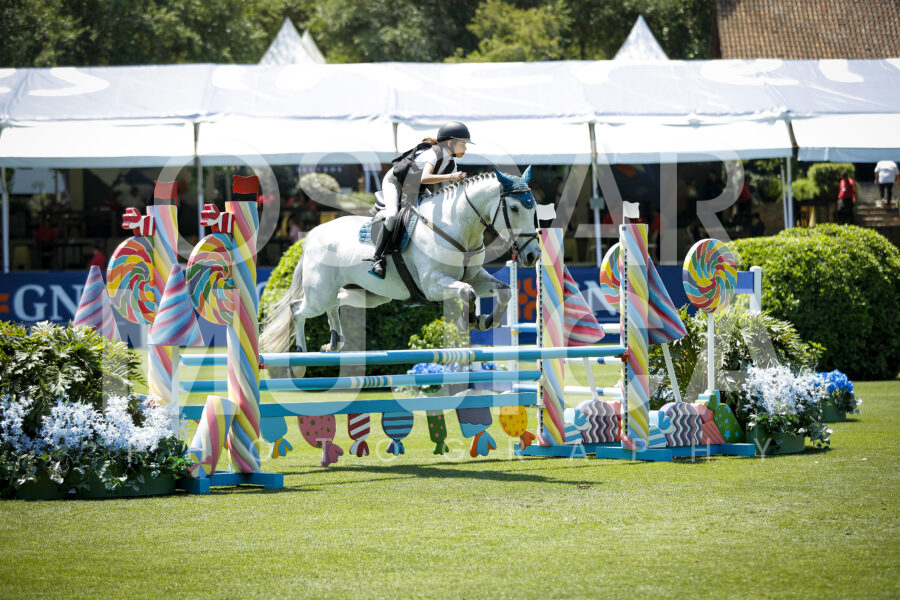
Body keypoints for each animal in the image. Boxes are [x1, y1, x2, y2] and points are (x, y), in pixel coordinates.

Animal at [259, 167, 541, 364]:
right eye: (514, 208)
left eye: (534, 207)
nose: (533, 255)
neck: (456, 225)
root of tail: (312, 235)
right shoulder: (433, 285)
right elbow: (466, 292)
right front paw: (468, 321)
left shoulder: (475, 276)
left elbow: (504, 291)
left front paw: (485, 320)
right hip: (319, 293)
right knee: (297, 309)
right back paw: (300, 355)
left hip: (368, 296)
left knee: (334, 303)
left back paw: (334, 342)